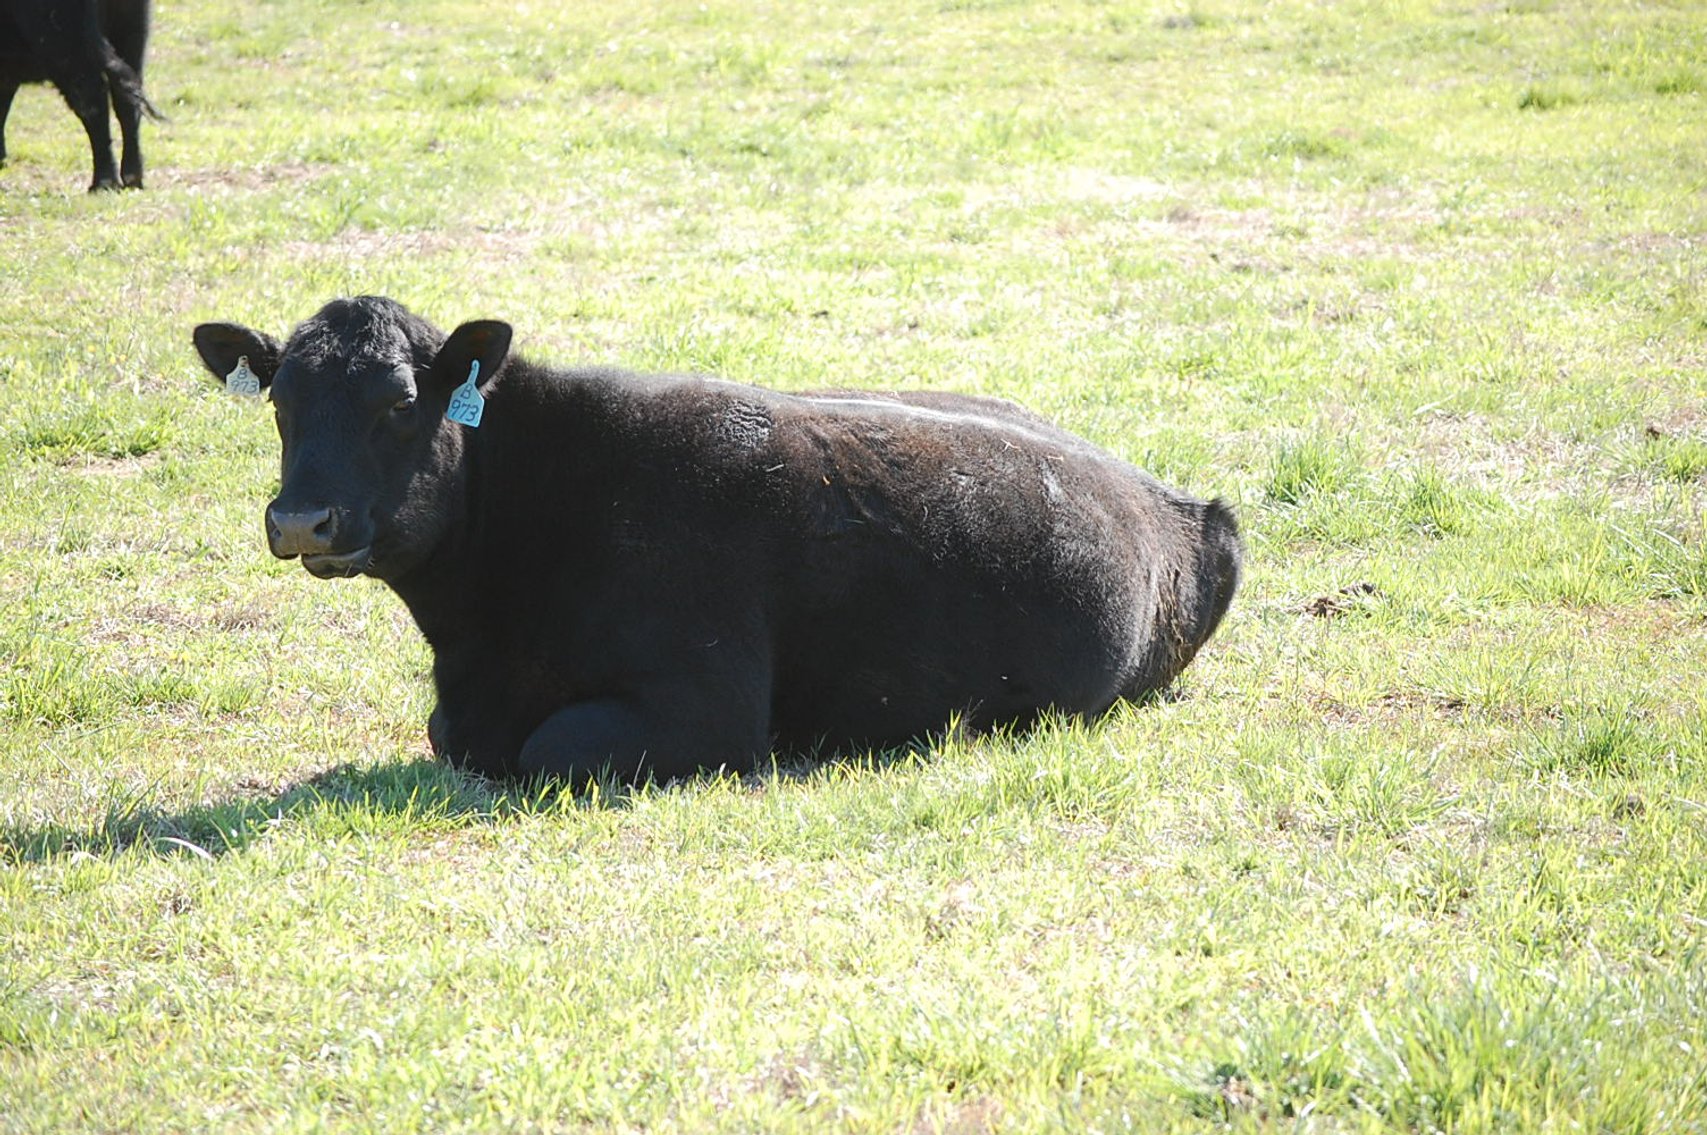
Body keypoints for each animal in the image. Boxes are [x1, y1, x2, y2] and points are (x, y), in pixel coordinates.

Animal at [0, 0, 161, 191]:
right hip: (130, 36)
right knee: (127, 102)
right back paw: (132, 178)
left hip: (68, 50)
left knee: (93, 104)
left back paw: (104, 182)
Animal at [193, 296, 1242, 784]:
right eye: (281, 402)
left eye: (401, 403)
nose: (300, 520)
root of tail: (1185, 503)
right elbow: (447, 733)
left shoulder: (704, 706)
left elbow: (550, 746)